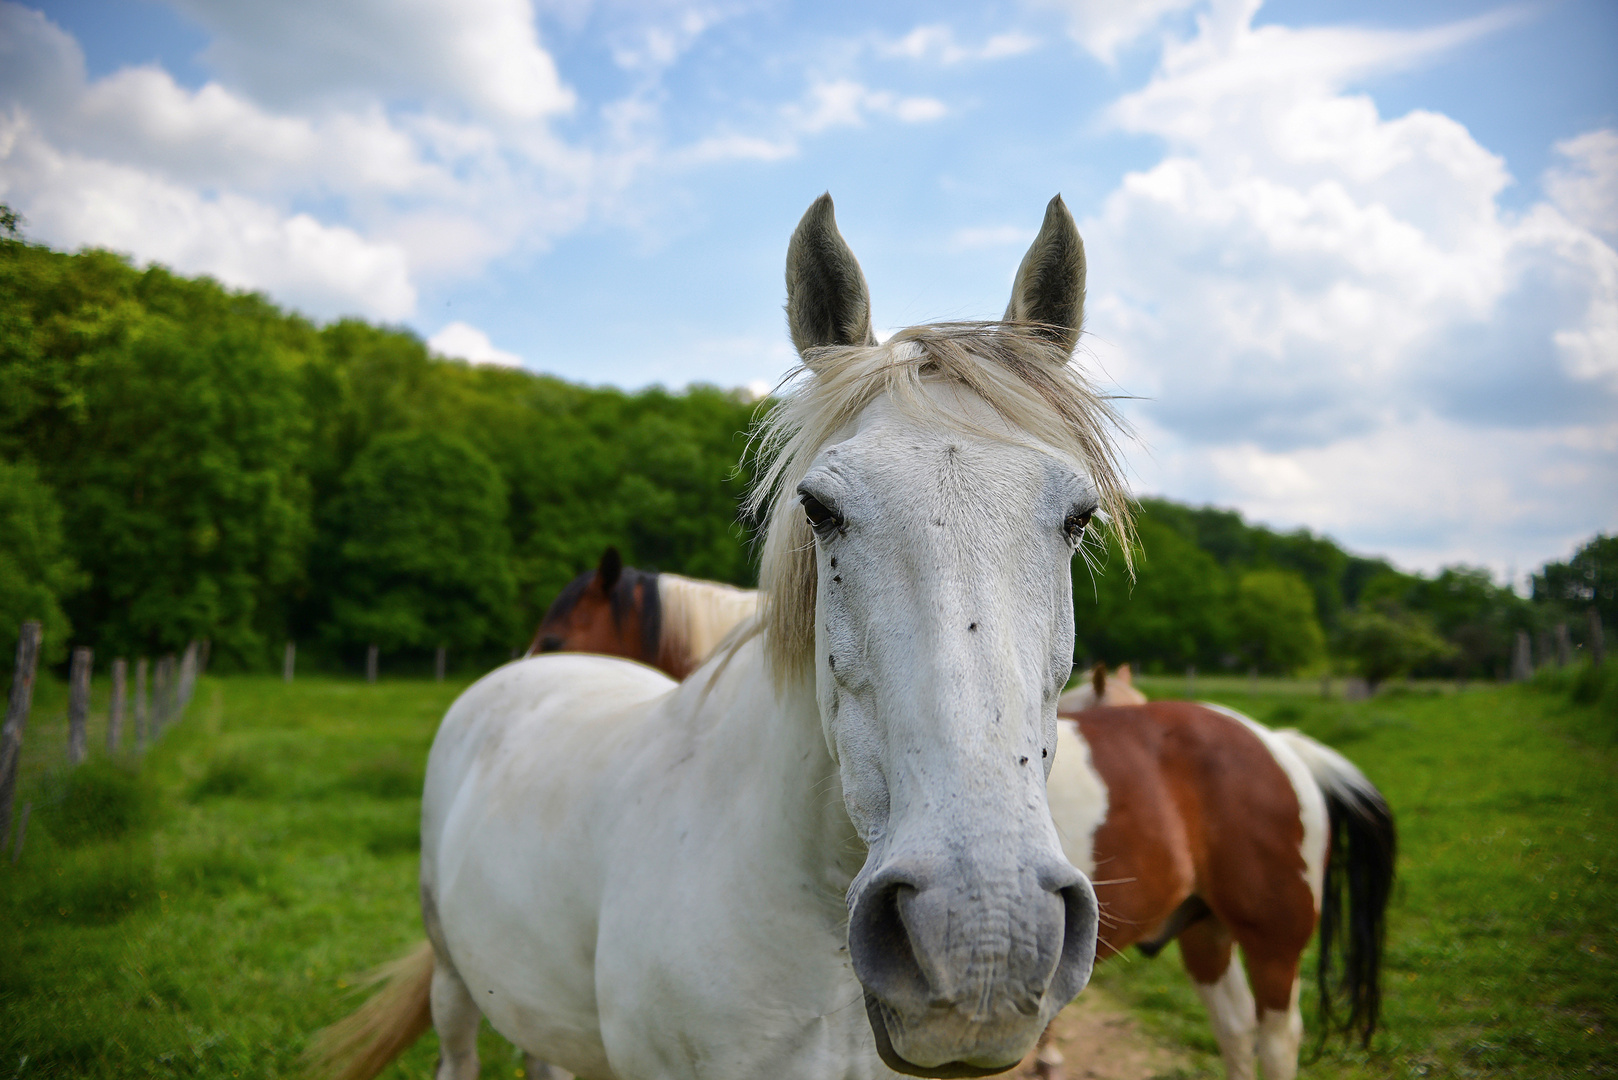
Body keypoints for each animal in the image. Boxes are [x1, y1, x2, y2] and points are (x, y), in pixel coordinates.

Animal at [537, 557, 1397, 1080]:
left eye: (554, 635)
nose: (529, 666)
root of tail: (1278, 746)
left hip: (1272, 938)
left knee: (1275, 1037)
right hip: (1206, 932)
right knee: (1235, 1031)